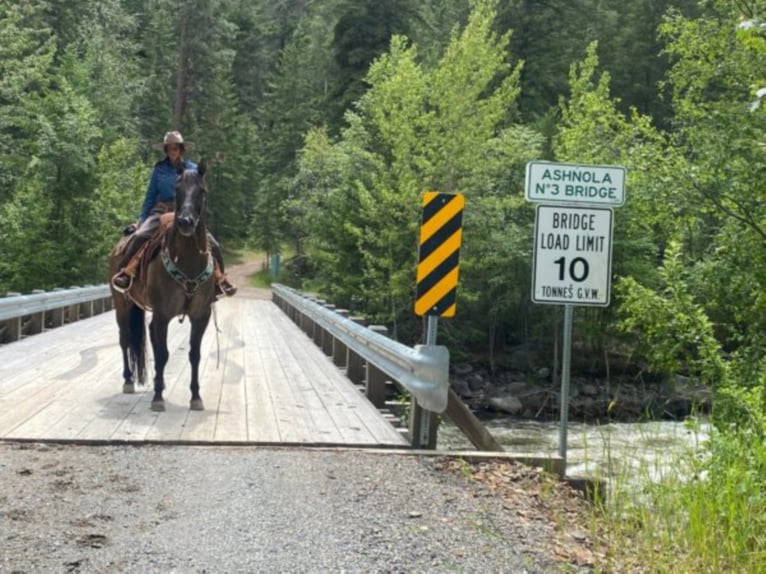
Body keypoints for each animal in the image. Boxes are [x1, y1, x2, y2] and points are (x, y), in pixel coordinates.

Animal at [108, 161, 218, 414]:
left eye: (202, 191)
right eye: (177, 189)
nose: (185, 222)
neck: (187, 263)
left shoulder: (201, 315)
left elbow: (194, 354)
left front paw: (195, 397)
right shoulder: (162, 314)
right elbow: (161, 354)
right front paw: (158, 397)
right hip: (122, 305)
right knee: (125, 338)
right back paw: (128, 380)